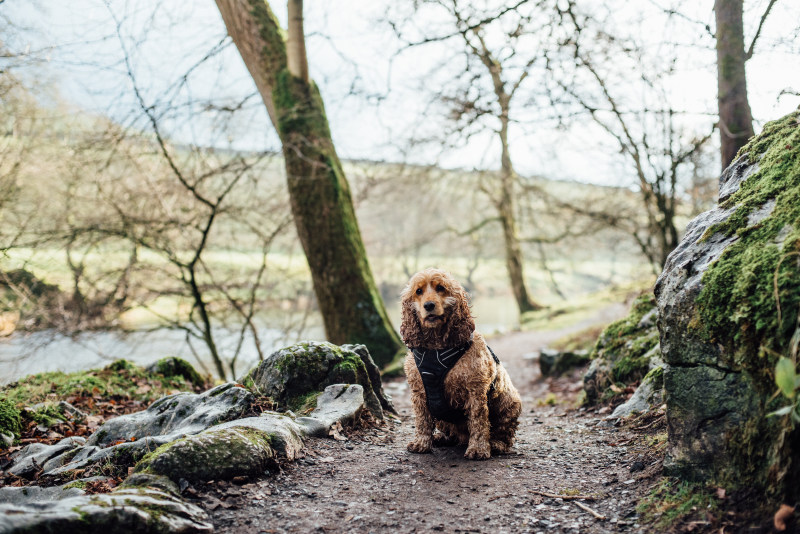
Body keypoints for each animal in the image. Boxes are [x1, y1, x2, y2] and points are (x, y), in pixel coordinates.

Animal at [400, 270, 524, 462]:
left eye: (440, 288)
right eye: (418, 291)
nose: (429, 305)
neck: (436, 349)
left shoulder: (475, 391)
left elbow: (478, 421)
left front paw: (479, 449)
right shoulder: (419, 392)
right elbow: (422, 421)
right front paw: (421, 443)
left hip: (510, 404)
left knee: (505, 434)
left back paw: (496, 444)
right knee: (452, 433)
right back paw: (442, 438)